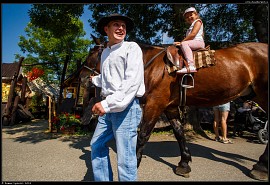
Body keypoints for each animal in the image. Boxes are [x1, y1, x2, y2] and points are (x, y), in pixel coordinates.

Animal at [82, 35, 268, 178]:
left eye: (92, 52)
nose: (83, 76)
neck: (153, 65)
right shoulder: (169, 107)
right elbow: (179, 133)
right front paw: (184, 164)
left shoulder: (154, 104)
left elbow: (143, 135)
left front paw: (133, 165)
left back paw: (261, 167)